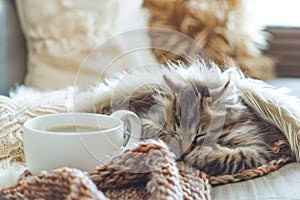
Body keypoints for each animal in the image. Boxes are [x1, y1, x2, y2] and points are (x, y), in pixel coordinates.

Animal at [77, 60, 284, 176]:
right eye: (176, 132)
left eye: (199, 136)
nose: (184, 152)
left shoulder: (258, 148)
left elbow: (232, 156)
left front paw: (199, 154)